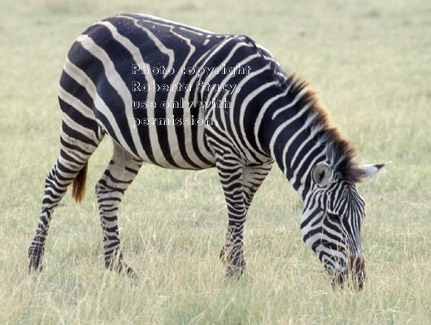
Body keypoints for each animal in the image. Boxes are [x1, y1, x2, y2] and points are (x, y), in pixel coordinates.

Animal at [28, 13, 390, 286]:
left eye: (362, 218)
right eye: (333, 218)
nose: (357, 283)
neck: (264, 115)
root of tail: (94, 24)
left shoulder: (260, 162)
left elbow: (243, 208)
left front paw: (228, 260)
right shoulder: (226, 152)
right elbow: (237, 210)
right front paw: (236, 272)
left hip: (125, 141)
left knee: (107, 190)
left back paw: (118, 266)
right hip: (80, 122)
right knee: (54, 183)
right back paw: (35, 262)